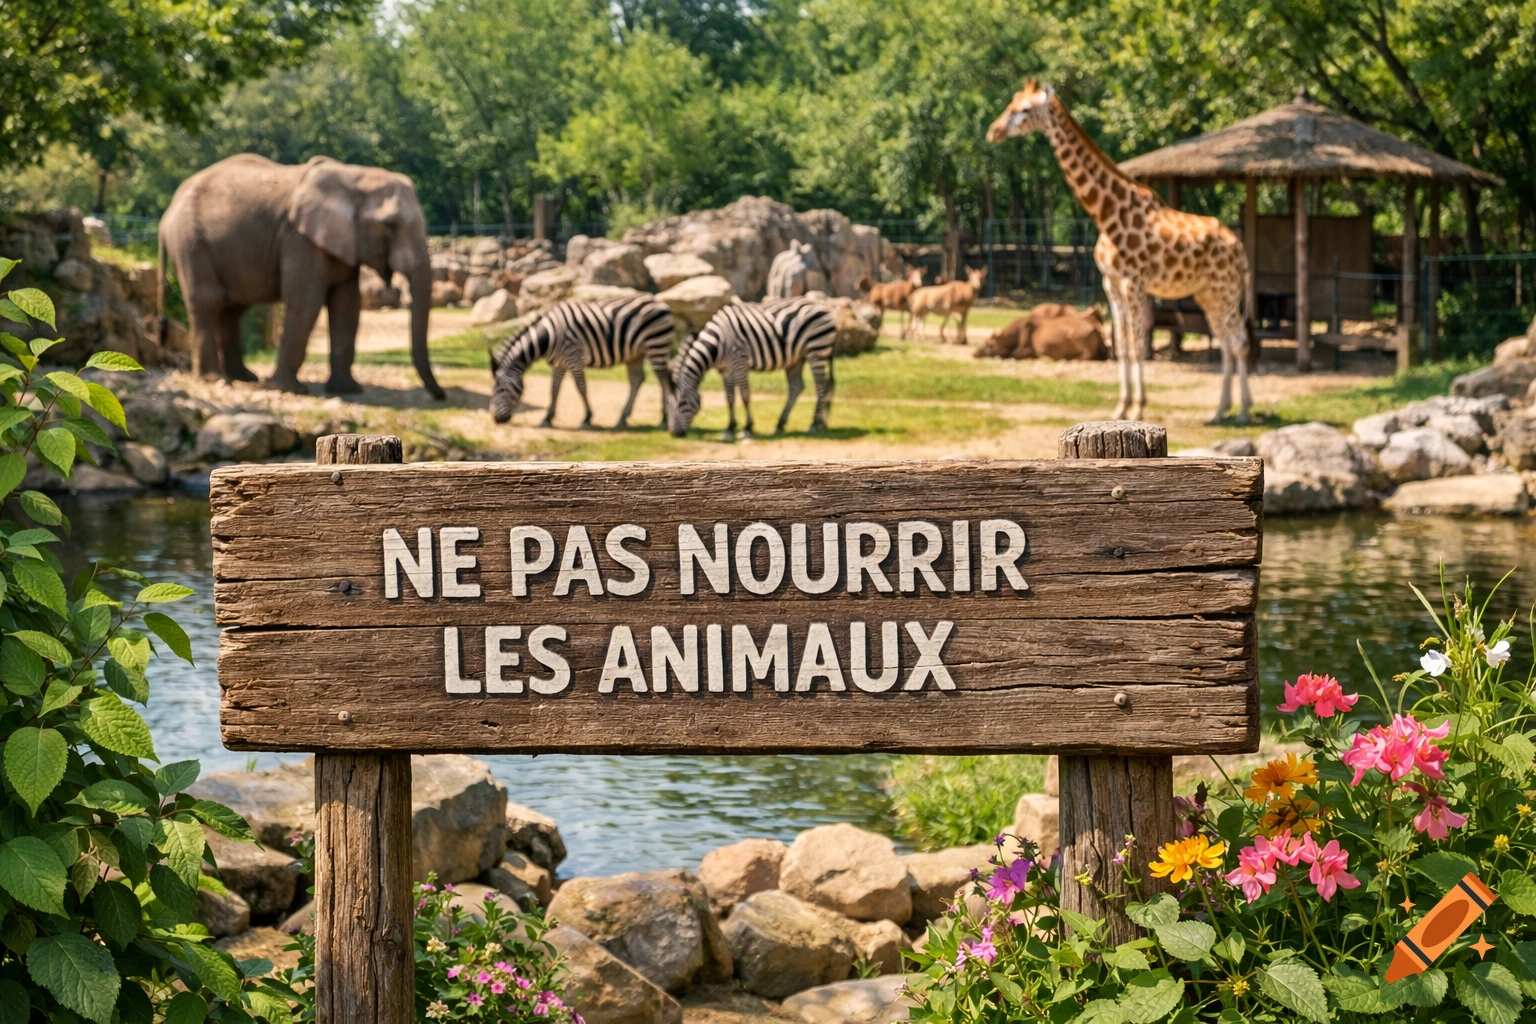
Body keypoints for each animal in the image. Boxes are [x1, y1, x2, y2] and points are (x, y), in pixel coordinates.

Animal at [157, 154, 444, 398]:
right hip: (192, 244)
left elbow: (347, 305)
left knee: (233, 308)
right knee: (209, 301)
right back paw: (217, 380)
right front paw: (288, 390)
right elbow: (307, 300)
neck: (354, 176)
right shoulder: (299, 239)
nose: (440, 396)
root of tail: (165, 217)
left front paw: (348, 390)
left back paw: (245, 377)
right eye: (390, 225)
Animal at [489, 296, 677, 429]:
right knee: (638, 380)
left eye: (501, 389)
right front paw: (547, 418)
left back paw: (663, 420)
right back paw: (622, 418)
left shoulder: (574, 359)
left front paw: (587, 418)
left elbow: (581, 387)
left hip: (656, 345)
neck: (549, 337)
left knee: (662, 379)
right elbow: (554, 390)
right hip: (636, 354)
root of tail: (662, 304)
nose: (496, 419)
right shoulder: (559, 363)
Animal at [669, 298, 836, 440]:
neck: (717, 345)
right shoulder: (726, 369)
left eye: (681, 403)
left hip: (816, 350)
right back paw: (781, 424)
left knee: (821, 386)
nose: (674, 434)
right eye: (669, 405)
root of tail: (825, 308)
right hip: (797, 358)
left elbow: (744, 395)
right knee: (797, 387)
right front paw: (730, 427)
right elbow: (729, 398)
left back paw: (814, 423)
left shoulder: (739, 363)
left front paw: (747, 427)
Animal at [987, 80, 1252, 423]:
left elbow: (1137, 345)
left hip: (1226, 290)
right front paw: (1121, 407)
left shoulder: (1134, 283)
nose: (993, 131)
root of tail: (1240, 248)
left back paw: (1243, 411)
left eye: (1025, 109)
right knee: (1225, 342)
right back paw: (1220, 411)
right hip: (1207, 294)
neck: (1106, 213)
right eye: (1012, 103)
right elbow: (1122, 345)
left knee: (1239, 341)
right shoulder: (1110, 284)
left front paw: (1139, 408)